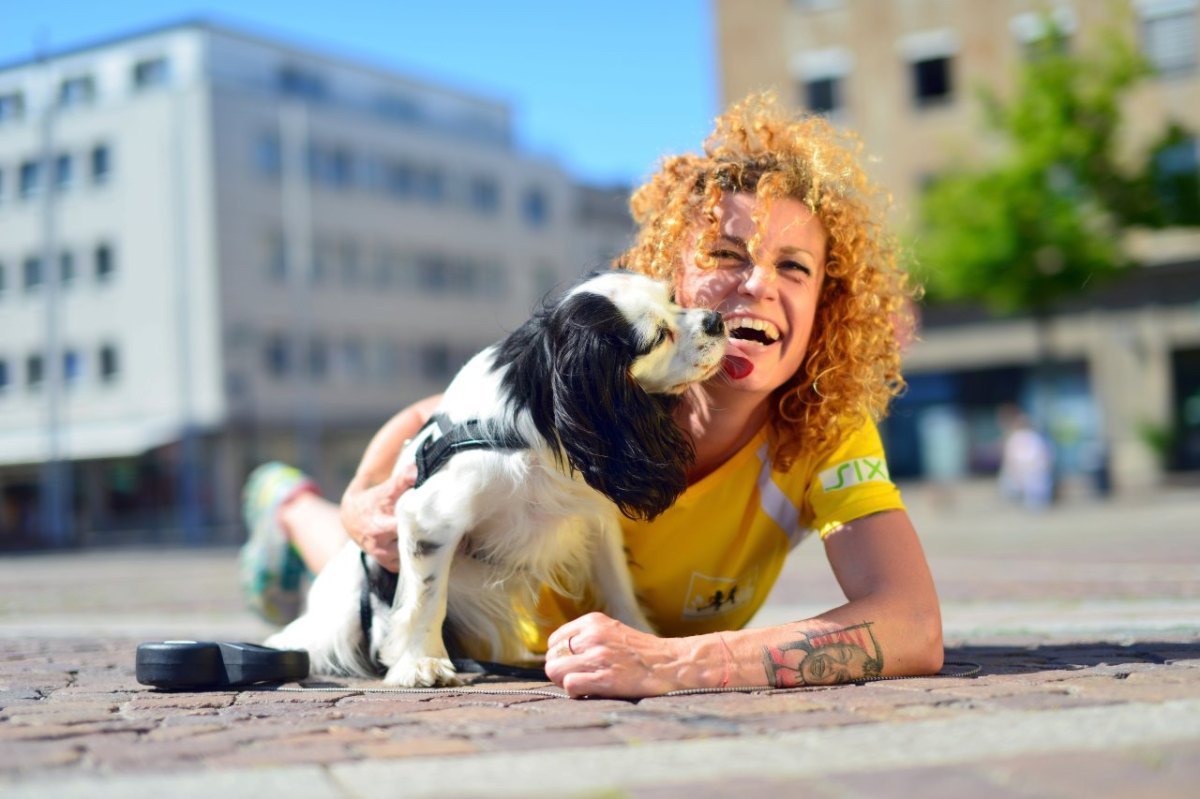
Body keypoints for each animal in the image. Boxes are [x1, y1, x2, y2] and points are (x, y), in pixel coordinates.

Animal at [267, 271, 724, 681]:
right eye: (659, 337)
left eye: (674, 298)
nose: (716, 320)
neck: (535, 407)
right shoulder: (430, 517)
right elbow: (427, 596)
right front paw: (421, 662)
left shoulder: (593, 520)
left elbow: (617, 585)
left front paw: (639, 639)